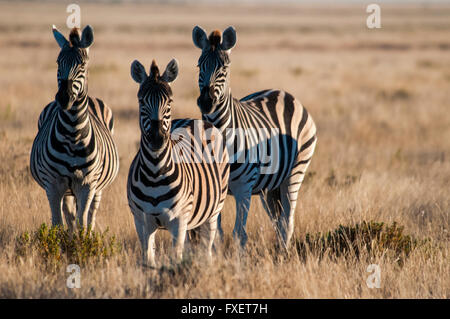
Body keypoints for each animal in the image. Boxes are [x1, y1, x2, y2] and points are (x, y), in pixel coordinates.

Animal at [30, 25, 120, 230]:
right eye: (58, 62)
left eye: (82, 65)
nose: (63, 98)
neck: (72, 131)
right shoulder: (53, 184)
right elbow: (58, 223)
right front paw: (62, 240)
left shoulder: (87, 184)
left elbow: (82, 222)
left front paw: (81, 239)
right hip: (67, 189)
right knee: (69, 214)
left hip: (97, 187)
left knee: (90, 216)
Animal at [128, 58, 230, 268]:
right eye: (141, 101)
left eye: (169, 102)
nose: (157, 139)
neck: (154, 173)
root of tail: (197, 120)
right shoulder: (141, 221)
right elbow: (147, 260)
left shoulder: (179, 221)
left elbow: (176, 258)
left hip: (213, 211)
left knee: (207, 249)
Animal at [192, 25, 316, 250]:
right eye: (199, 66)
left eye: (225, 68)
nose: (206, 102)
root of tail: (284, 93)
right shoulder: (216, 188)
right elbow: (215, 234)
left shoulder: (244, 188)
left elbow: (239, 234)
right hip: (270, 187)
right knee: (278, 221)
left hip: (295, 172)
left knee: (287, 222)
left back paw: (283, 254)